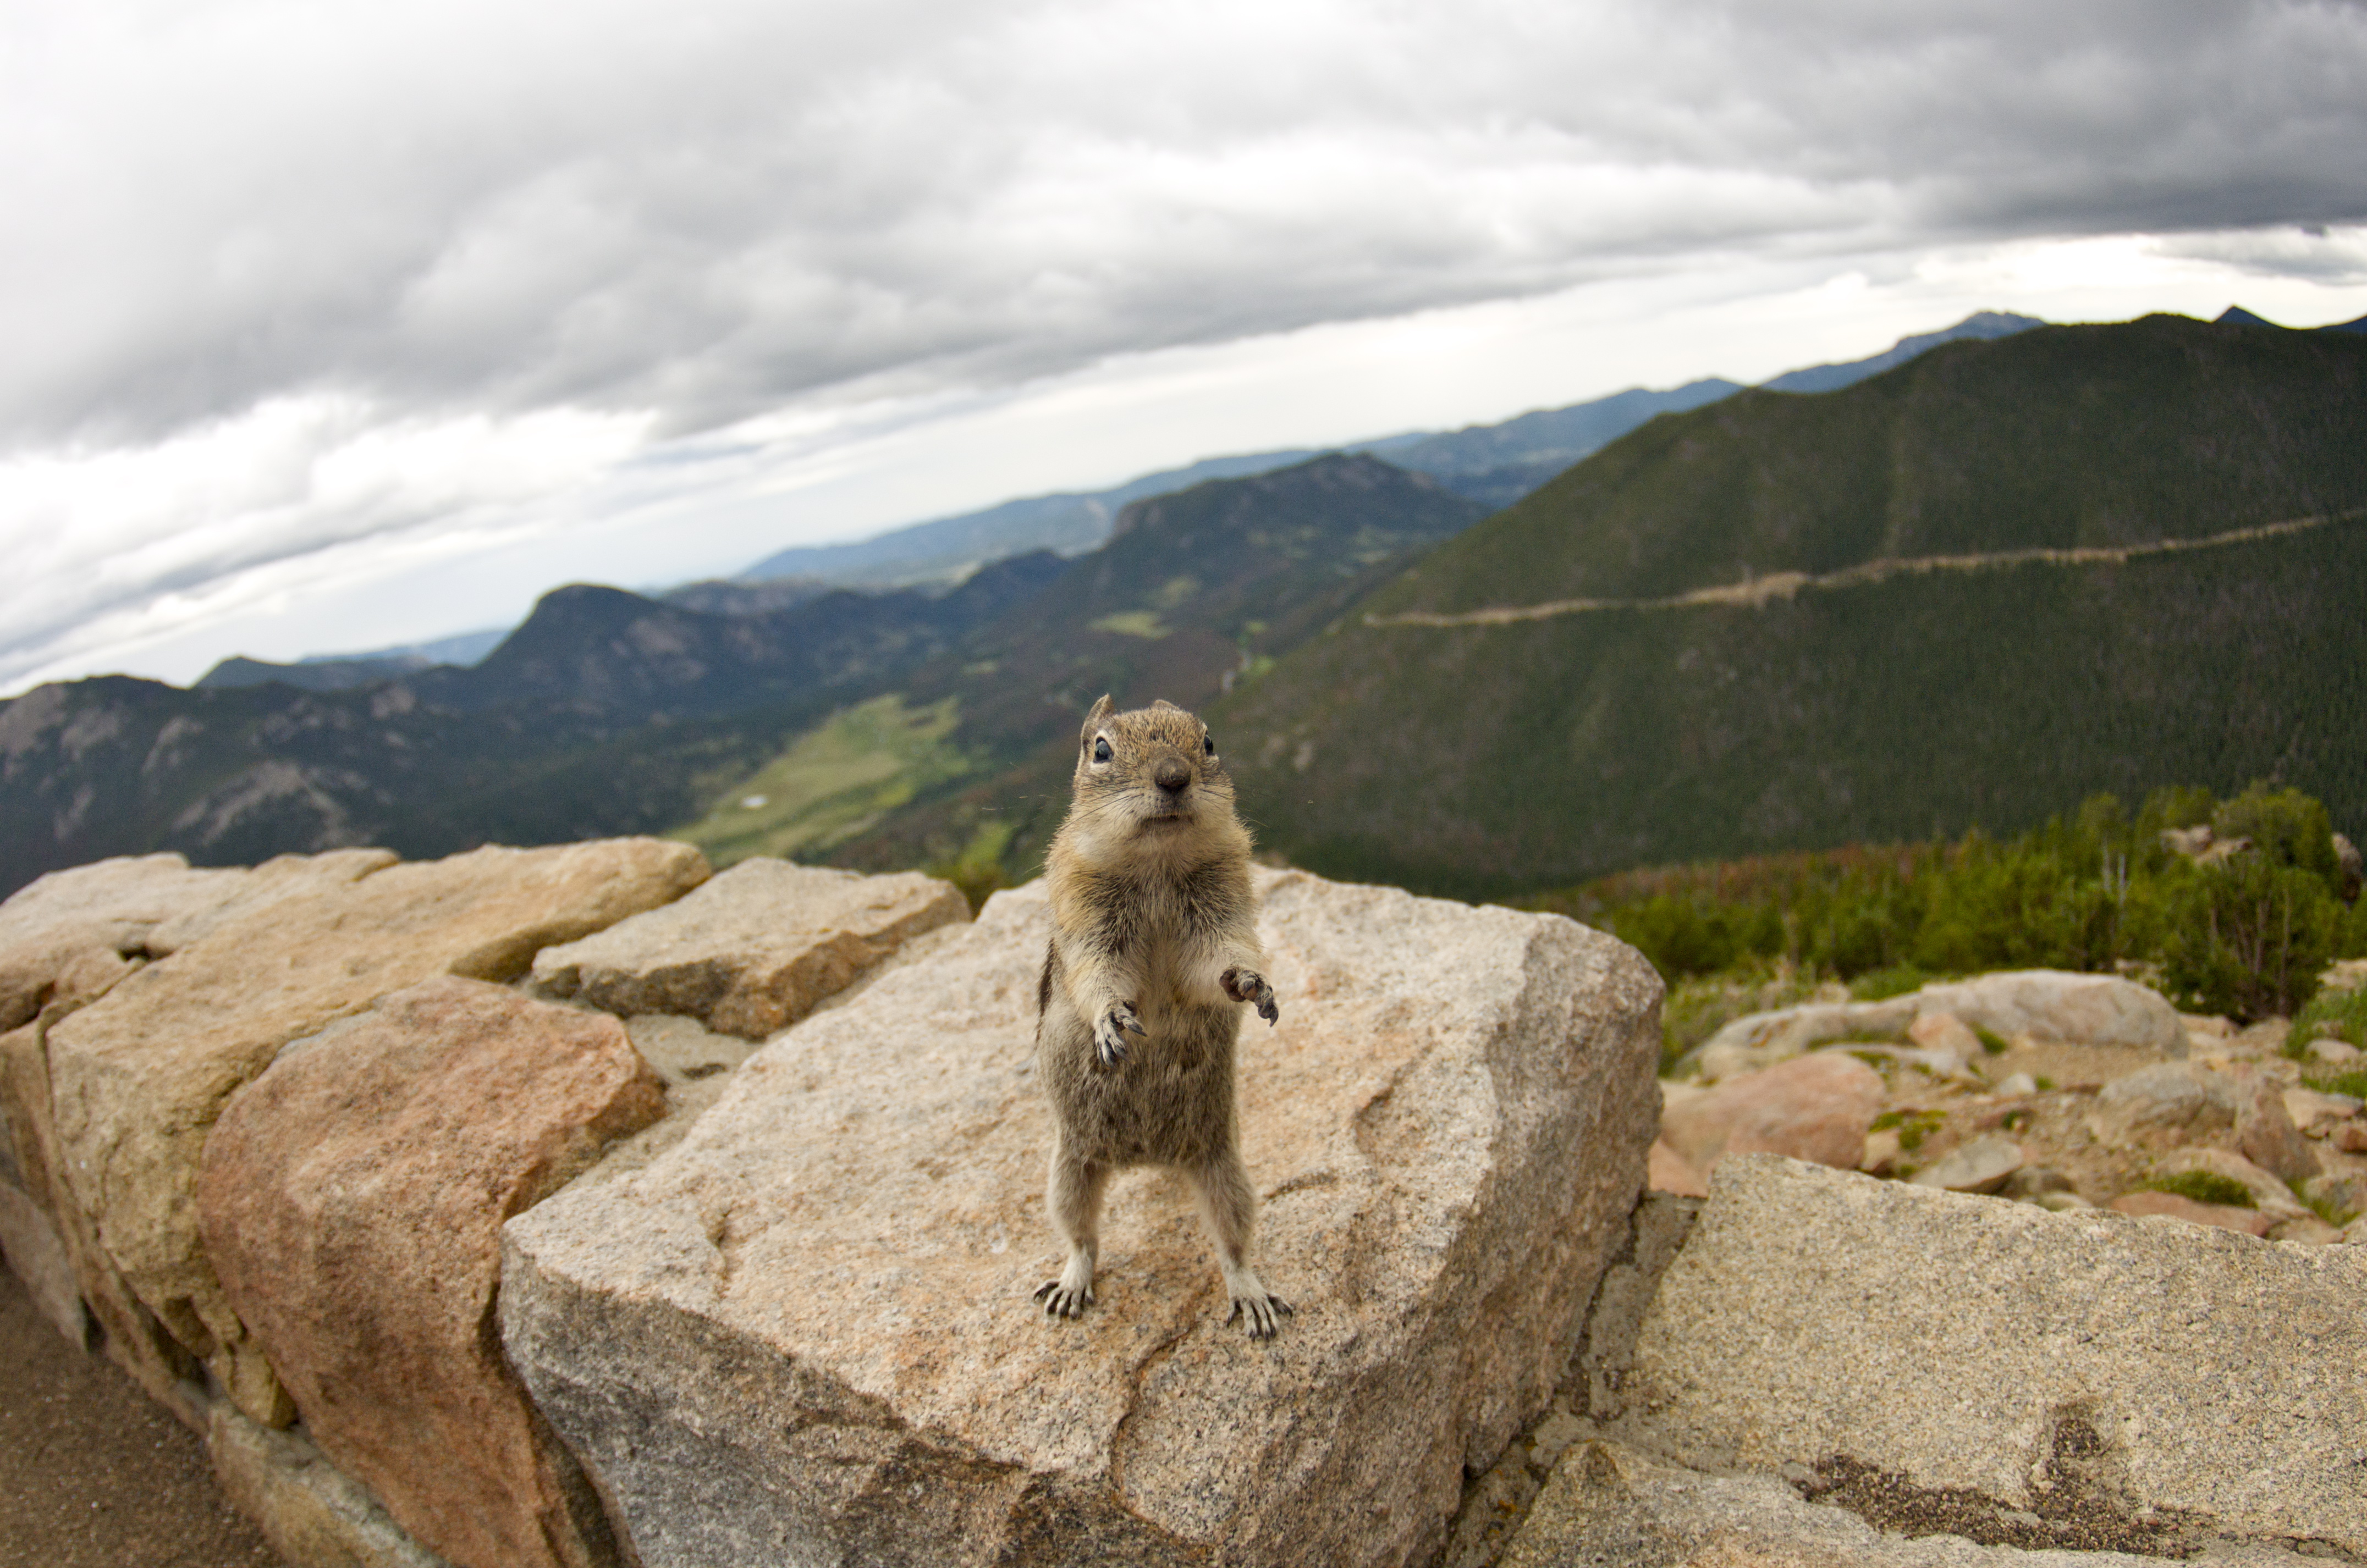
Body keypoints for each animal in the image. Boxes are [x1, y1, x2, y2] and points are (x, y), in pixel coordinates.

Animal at [1031, 695, 1292, 1338]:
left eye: (1209, 741)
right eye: (1100, 749)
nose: (1174, 777)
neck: (1156, 864)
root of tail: (1148, 1158)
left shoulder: (1221, 908)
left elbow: (1216, 963)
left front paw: (1251, 983)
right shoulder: (1084, 914)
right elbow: (1097, 972)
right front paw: (1109, 1019)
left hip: (1223, 1165)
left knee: (1233, 1242)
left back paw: (1251, 1293)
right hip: (1069, 1166)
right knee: (1082, 1236)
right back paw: (1070, 1284)